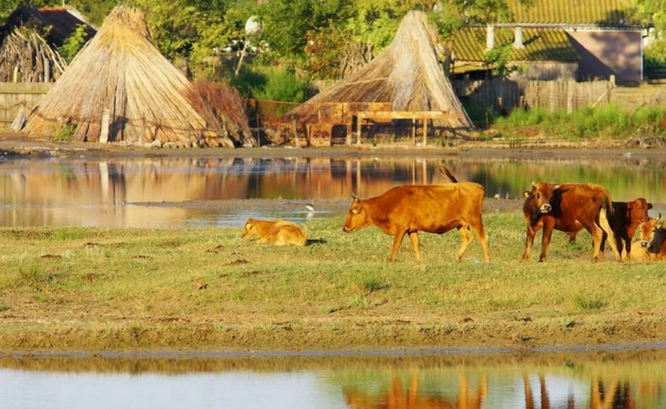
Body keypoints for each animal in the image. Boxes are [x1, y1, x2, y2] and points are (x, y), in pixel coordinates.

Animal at [342, 169, 488, 262]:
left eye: (353, 210)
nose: (344, 228)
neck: (389, 203)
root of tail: (476, 186)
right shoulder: (411, 230)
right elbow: (416, 246)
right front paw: (419, 262)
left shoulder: (401, 229)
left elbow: (395, 246)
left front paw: (391, 261)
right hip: (460, 224)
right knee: (468, 238)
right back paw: (457, 258)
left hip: (475, 220)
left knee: (483, 238)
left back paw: (487, 261)